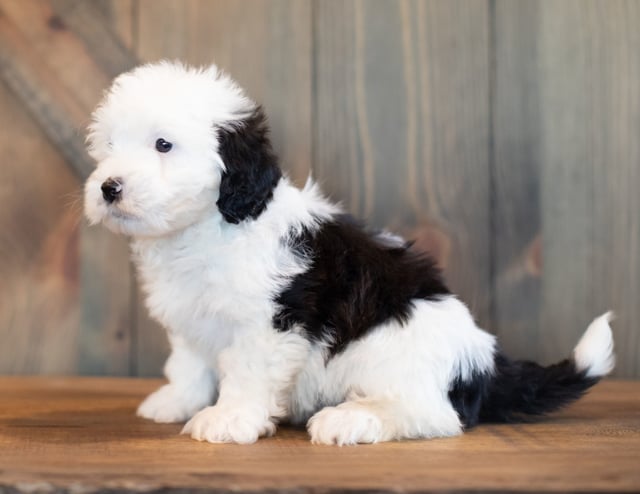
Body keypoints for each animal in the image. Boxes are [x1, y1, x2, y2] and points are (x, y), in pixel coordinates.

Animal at [85, 60, 616, 444]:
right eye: (108, 145)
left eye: (163, 145)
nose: (109, 187)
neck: (211, 227)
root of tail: (482, 361)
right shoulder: (192, 319)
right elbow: (191, 363)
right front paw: (178, 401)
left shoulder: (271, 321)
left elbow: (246, 372)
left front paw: (228, 419)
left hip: (392, 351)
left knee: (436, 415)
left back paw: (352, 420)